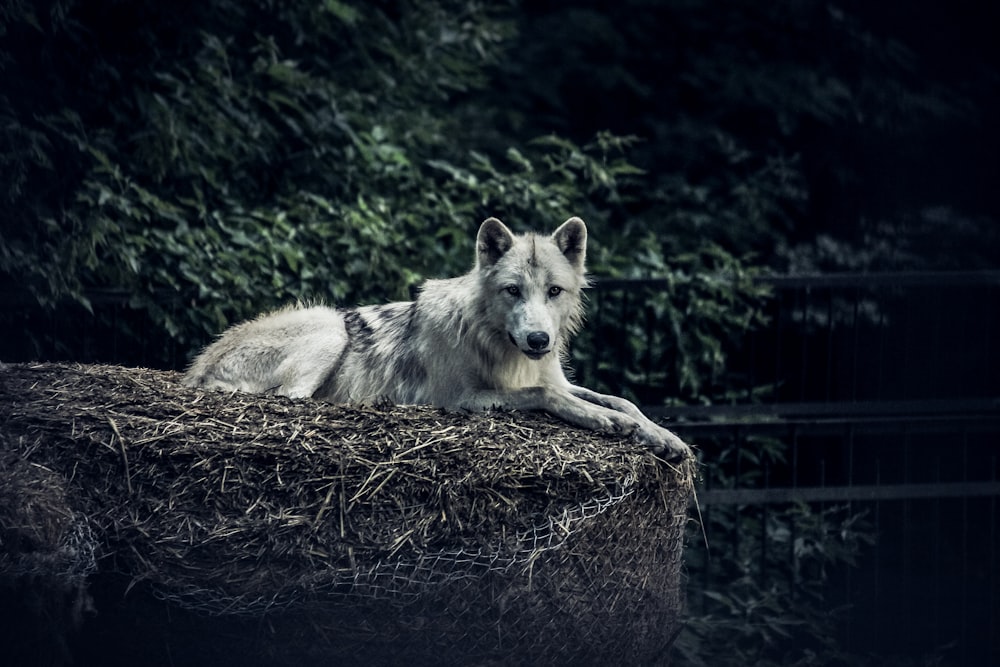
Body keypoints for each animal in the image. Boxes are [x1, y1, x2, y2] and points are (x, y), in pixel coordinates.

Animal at [184, 217, 692, 462]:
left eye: (554, 291)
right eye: (512, 290)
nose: (538, 340)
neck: (497, 343)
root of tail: (196, 369)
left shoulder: (557, 378)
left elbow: (622, 400)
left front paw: (663, 436)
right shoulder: (463, 399)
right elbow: (545, 395)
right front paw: (606, 422)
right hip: (330, 326)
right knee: (293, 401)